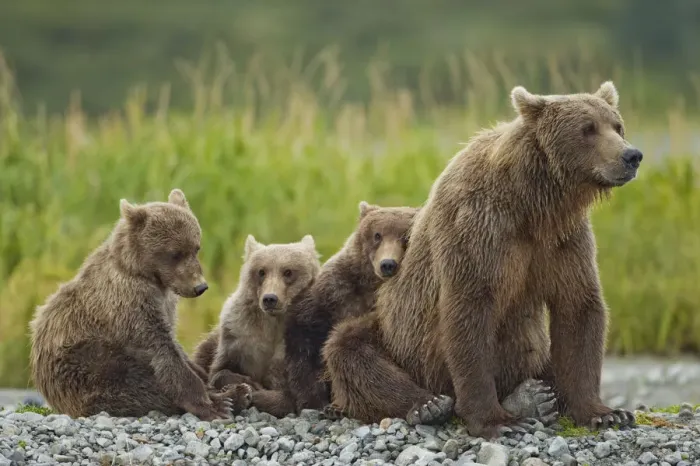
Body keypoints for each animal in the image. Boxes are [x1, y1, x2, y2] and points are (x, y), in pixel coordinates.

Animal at [29, 189, 251, 420]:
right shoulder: (129, 303)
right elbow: (161, 352)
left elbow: (176, 345)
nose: (200, 286)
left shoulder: (166, 302)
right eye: (174, 253)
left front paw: (213, 381)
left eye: (196, 248)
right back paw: (232, 397)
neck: (147, 276)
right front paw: (212, 404)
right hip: (84, 366)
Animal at [191, 234, 322, 393]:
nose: (270, 299)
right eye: (261, 271)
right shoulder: (238, 337)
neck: (273, 322)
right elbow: (221, 369)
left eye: (288, 272)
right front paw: (248, 383)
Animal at [248, 201, 420, 418]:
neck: (369, 287)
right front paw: (314, 399)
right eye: (377, 235)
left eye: (405, 236)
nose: (387, 264)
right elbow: (305, 339)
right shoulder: (333, 292)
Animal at [322, 81, 643, 438]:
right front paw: (497, 421)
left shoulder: (562, 240)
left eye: (617, 125)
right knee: (349, 349)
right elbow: (470, 311)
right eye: (588, 128)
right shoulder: (478, 229)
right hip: (395, 338)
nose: (631, 155)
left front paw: (605, 413)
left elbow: (578, 307)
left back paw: (535, 397)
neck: (533, 203)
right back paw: (429, 404)